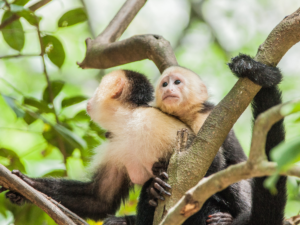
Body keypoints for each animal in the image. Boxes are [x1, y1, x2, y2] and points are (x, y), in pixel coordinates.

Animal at [1, 70, 193, 221]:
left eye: (98, 88)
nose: (90, 99)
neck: (128, 123)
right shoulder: (114, 144)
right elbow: (99, 200)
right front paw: (24, 184)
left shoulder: (153, 121)